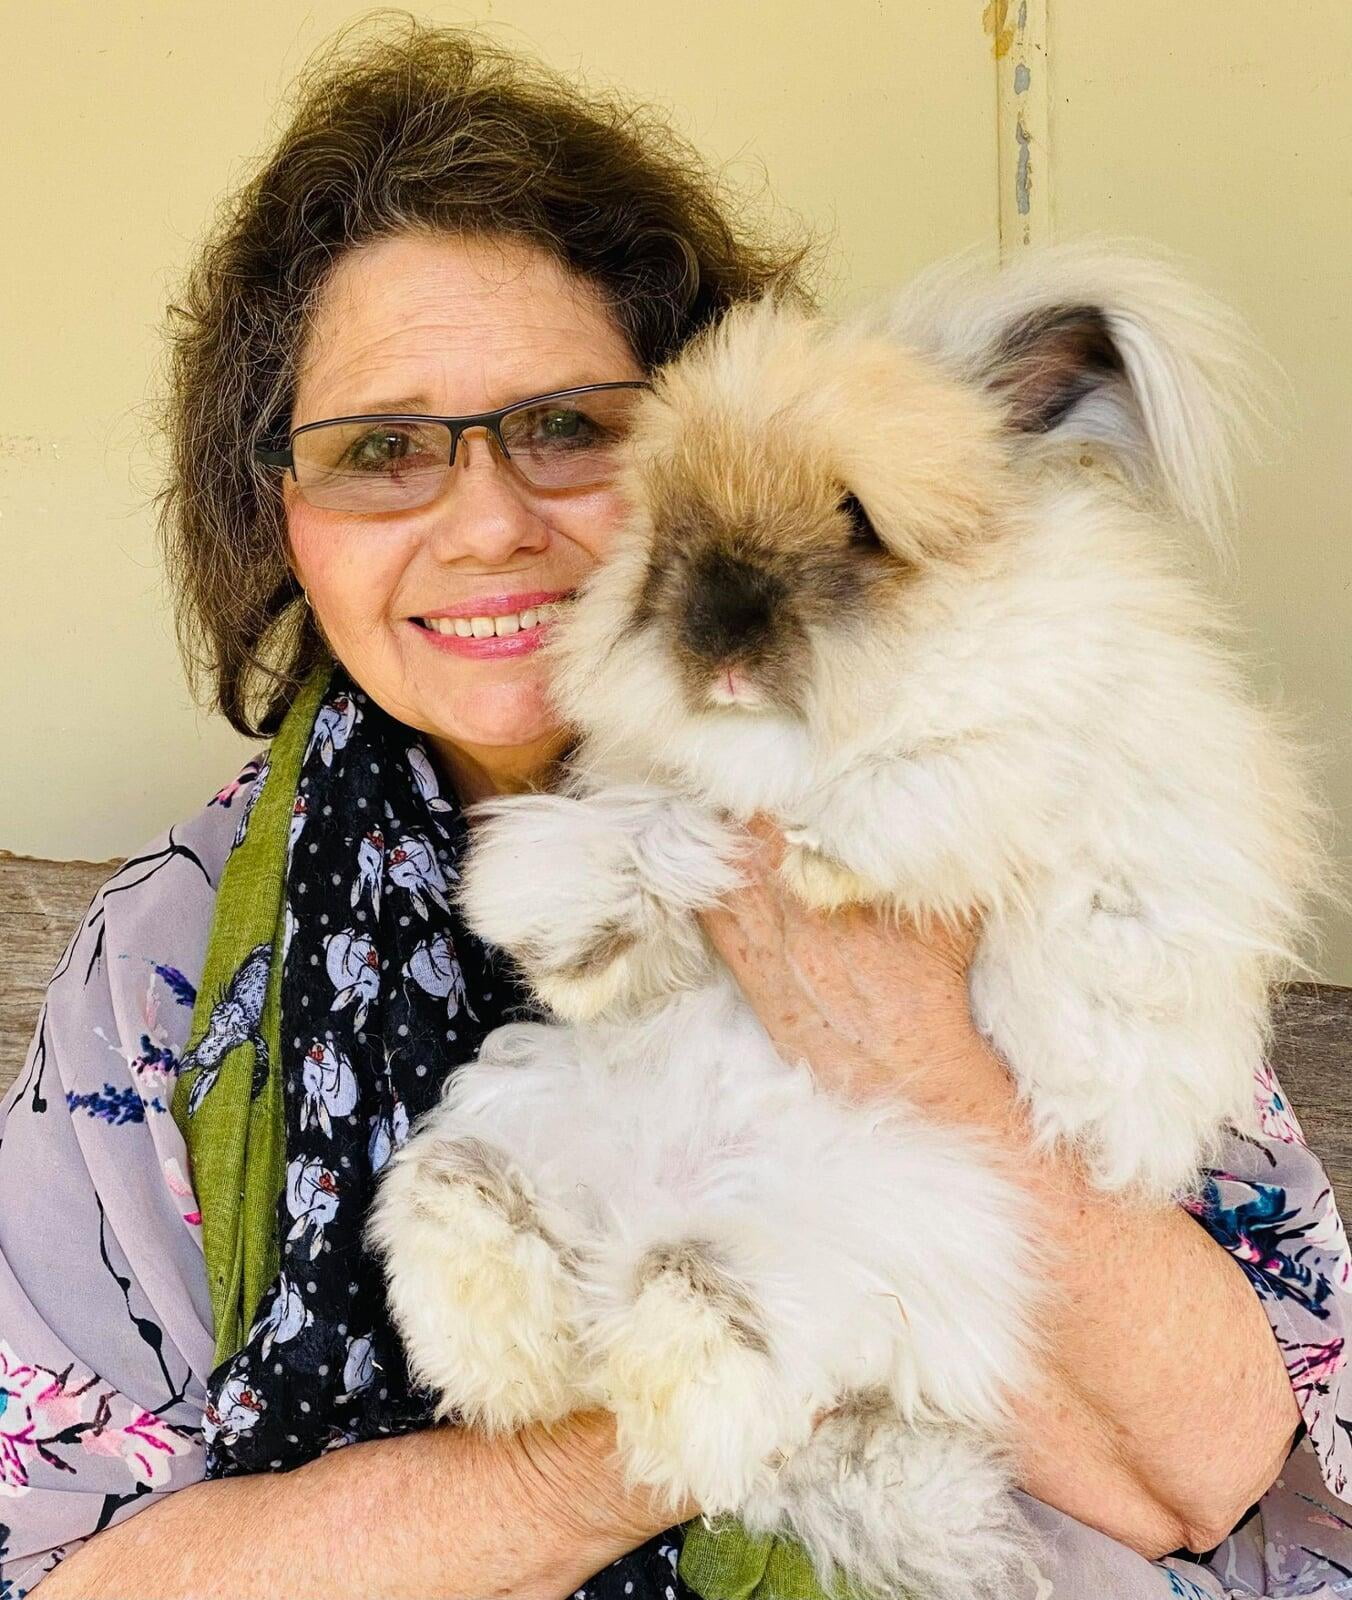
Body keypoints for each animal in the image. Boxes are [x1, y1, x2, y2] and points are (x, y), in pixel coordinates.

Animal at [371, 240, 1331, 1600]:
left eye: (856, 520)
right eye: (663, 526)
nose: (714, 639)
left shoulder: (1066, 744)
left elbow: (962, 774)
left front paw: (831, 856)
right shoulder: (664, 790)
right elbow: (646, 826)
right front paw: (571, 933)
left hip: (894, 1237)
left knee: (710, 1320)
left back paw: (662, 1380)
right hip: (528, 1123)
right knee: (473, 1215)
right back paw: (503, 1352)